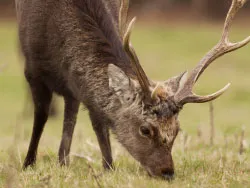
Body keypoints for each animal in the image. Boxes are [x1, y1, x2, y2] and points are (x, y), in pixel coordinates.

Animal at [15, 0, 248, 179]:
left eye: (177, 130)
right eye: (145, 129)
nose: (167, 172)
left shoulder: (79, 86)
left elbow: (99, 122)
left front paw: (108, 168)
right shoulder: (31, 69)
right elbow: (41, 116)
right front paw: (28, 164)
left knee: (71, 111)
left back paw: (63, 161)